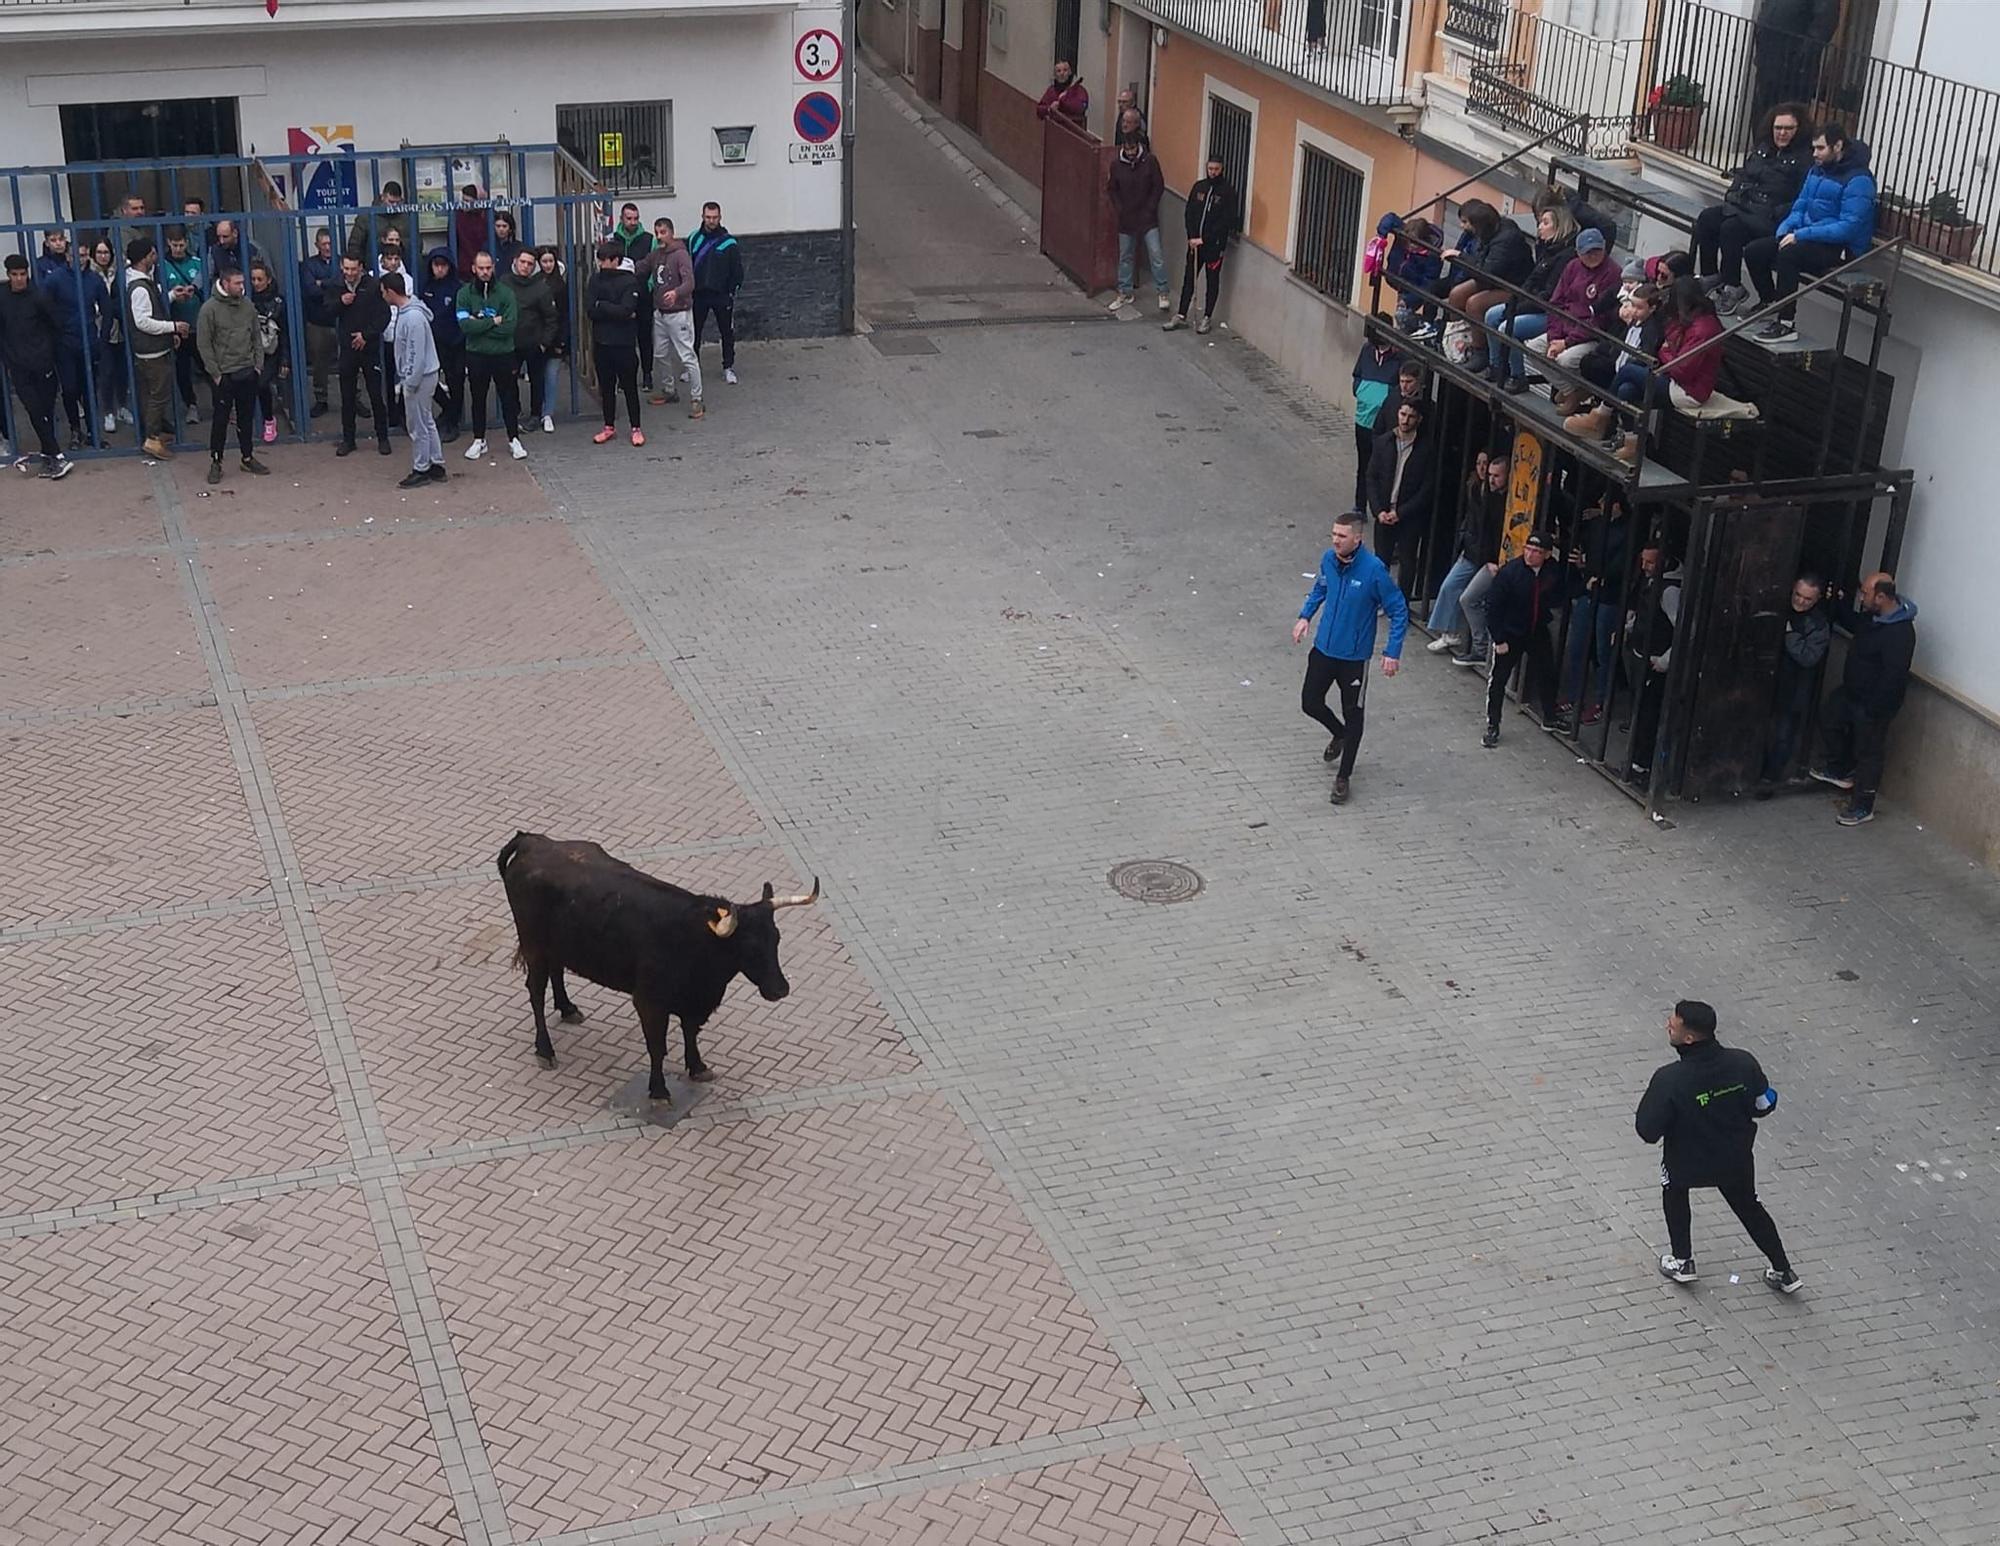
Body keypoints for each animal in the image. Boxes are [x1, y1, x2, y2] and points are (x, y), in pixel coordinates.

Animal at [496, 832, 816, 1096]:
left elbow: (690, 1031)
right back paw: (545, 1050)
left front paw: (698, 1067)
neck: (697, 943)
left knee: (556, 972)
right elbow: (657, 1047)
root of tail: (532, 841)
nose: (780, 989)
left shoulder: (695, 1001)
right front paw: (659, 1091)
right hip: (534, 946)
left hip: (557, 946)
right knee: (536, 992)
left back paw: (568, 1008)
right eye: (749, 946)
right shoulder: (649, 1002)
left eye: (776, 938)